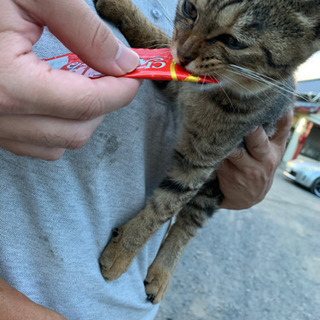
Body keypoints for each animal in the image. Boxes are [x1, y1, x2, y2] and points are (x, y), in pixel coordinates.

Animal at [95, 0, 320, 304]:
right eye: (190, 9)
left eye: (233, 42)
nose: (184, 54)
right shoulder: (175, 77)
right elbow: (156, 40)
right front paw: (122, 8)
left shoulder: (199, 163)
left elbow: (162, 209)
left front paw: (123, 251)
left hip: (214, 186)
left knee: (189, 223)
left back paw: (162, 272)